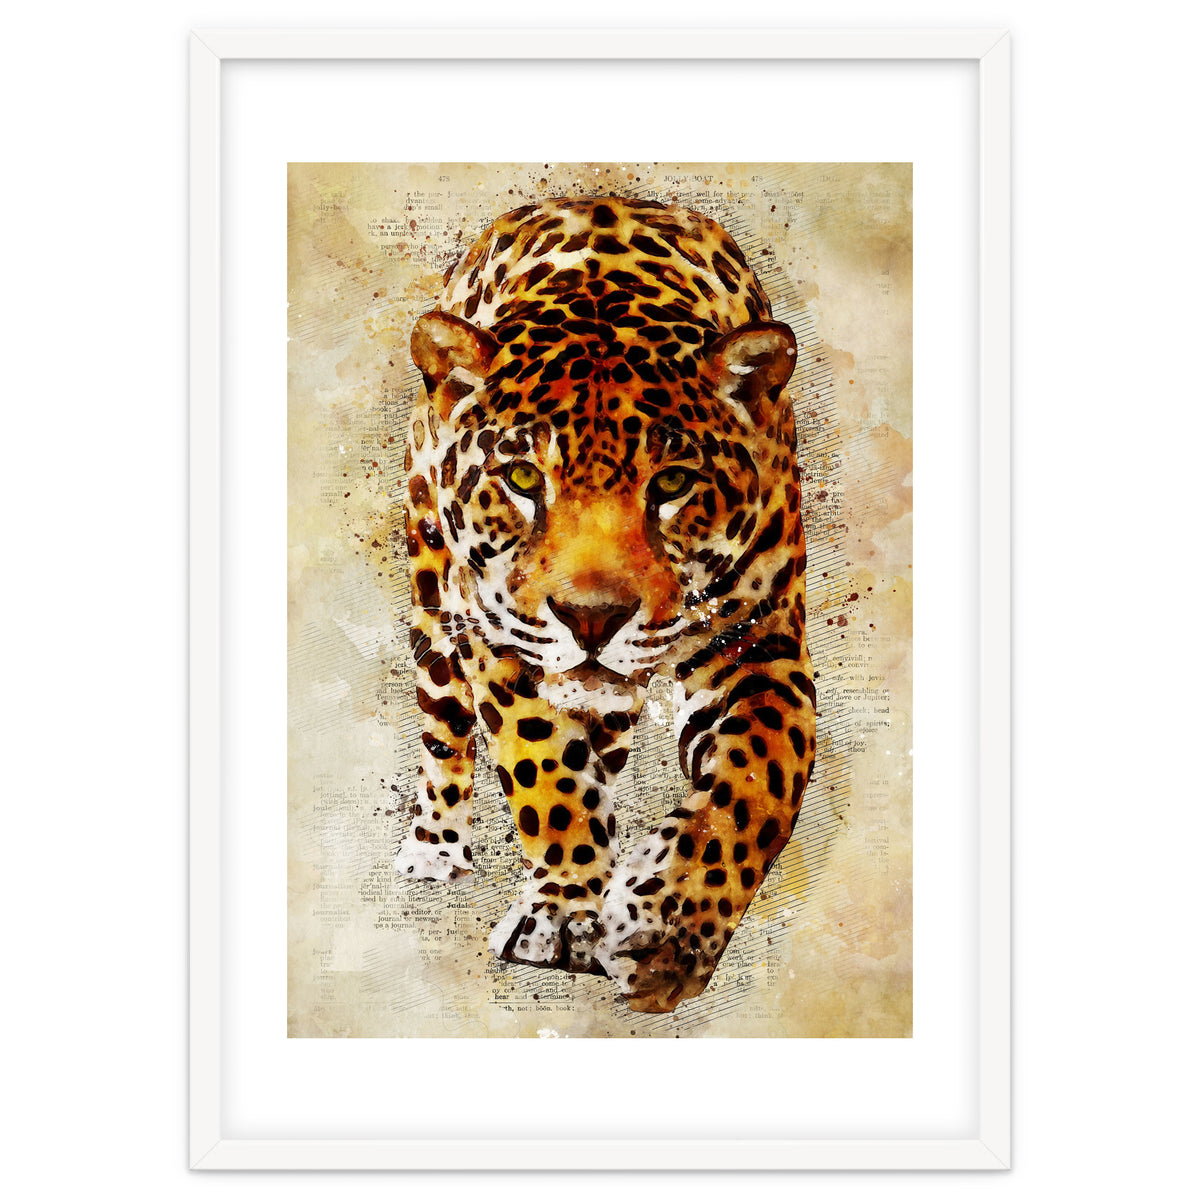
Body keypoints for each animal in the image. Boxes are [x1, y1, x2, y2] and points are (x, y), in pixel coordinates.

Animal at [394, 195, 816, 1013]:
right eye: (523, 478)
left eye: (674, 482)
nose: (591, 618)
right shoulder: (502, 639)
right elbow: (544, 768)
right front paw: (564, 912)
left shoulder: (762, 643)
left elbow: (759, 782)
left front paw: (665, 930)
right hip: (435, 599)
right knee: (444, 727)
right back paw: (435, 847)